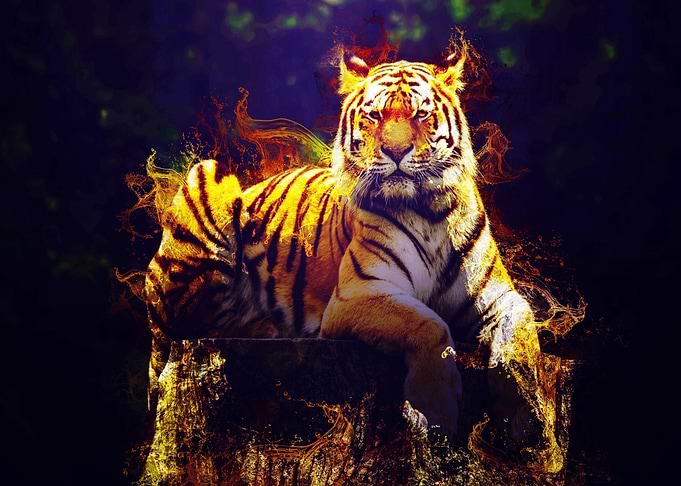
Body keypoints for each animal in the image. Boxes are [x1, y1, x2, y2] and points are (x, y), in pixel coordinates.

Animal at [144, 51, 542, 444]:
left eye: (420, 114)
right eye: (375, 115)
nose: (396, 151)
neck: (429, 211)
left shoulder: (500, 297)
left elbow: (521, 340)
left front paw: (525, 417)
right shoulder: (358, 293)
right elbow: (430, 324)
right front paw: (435, 412)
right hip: (209, 178)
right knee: (189, 324)